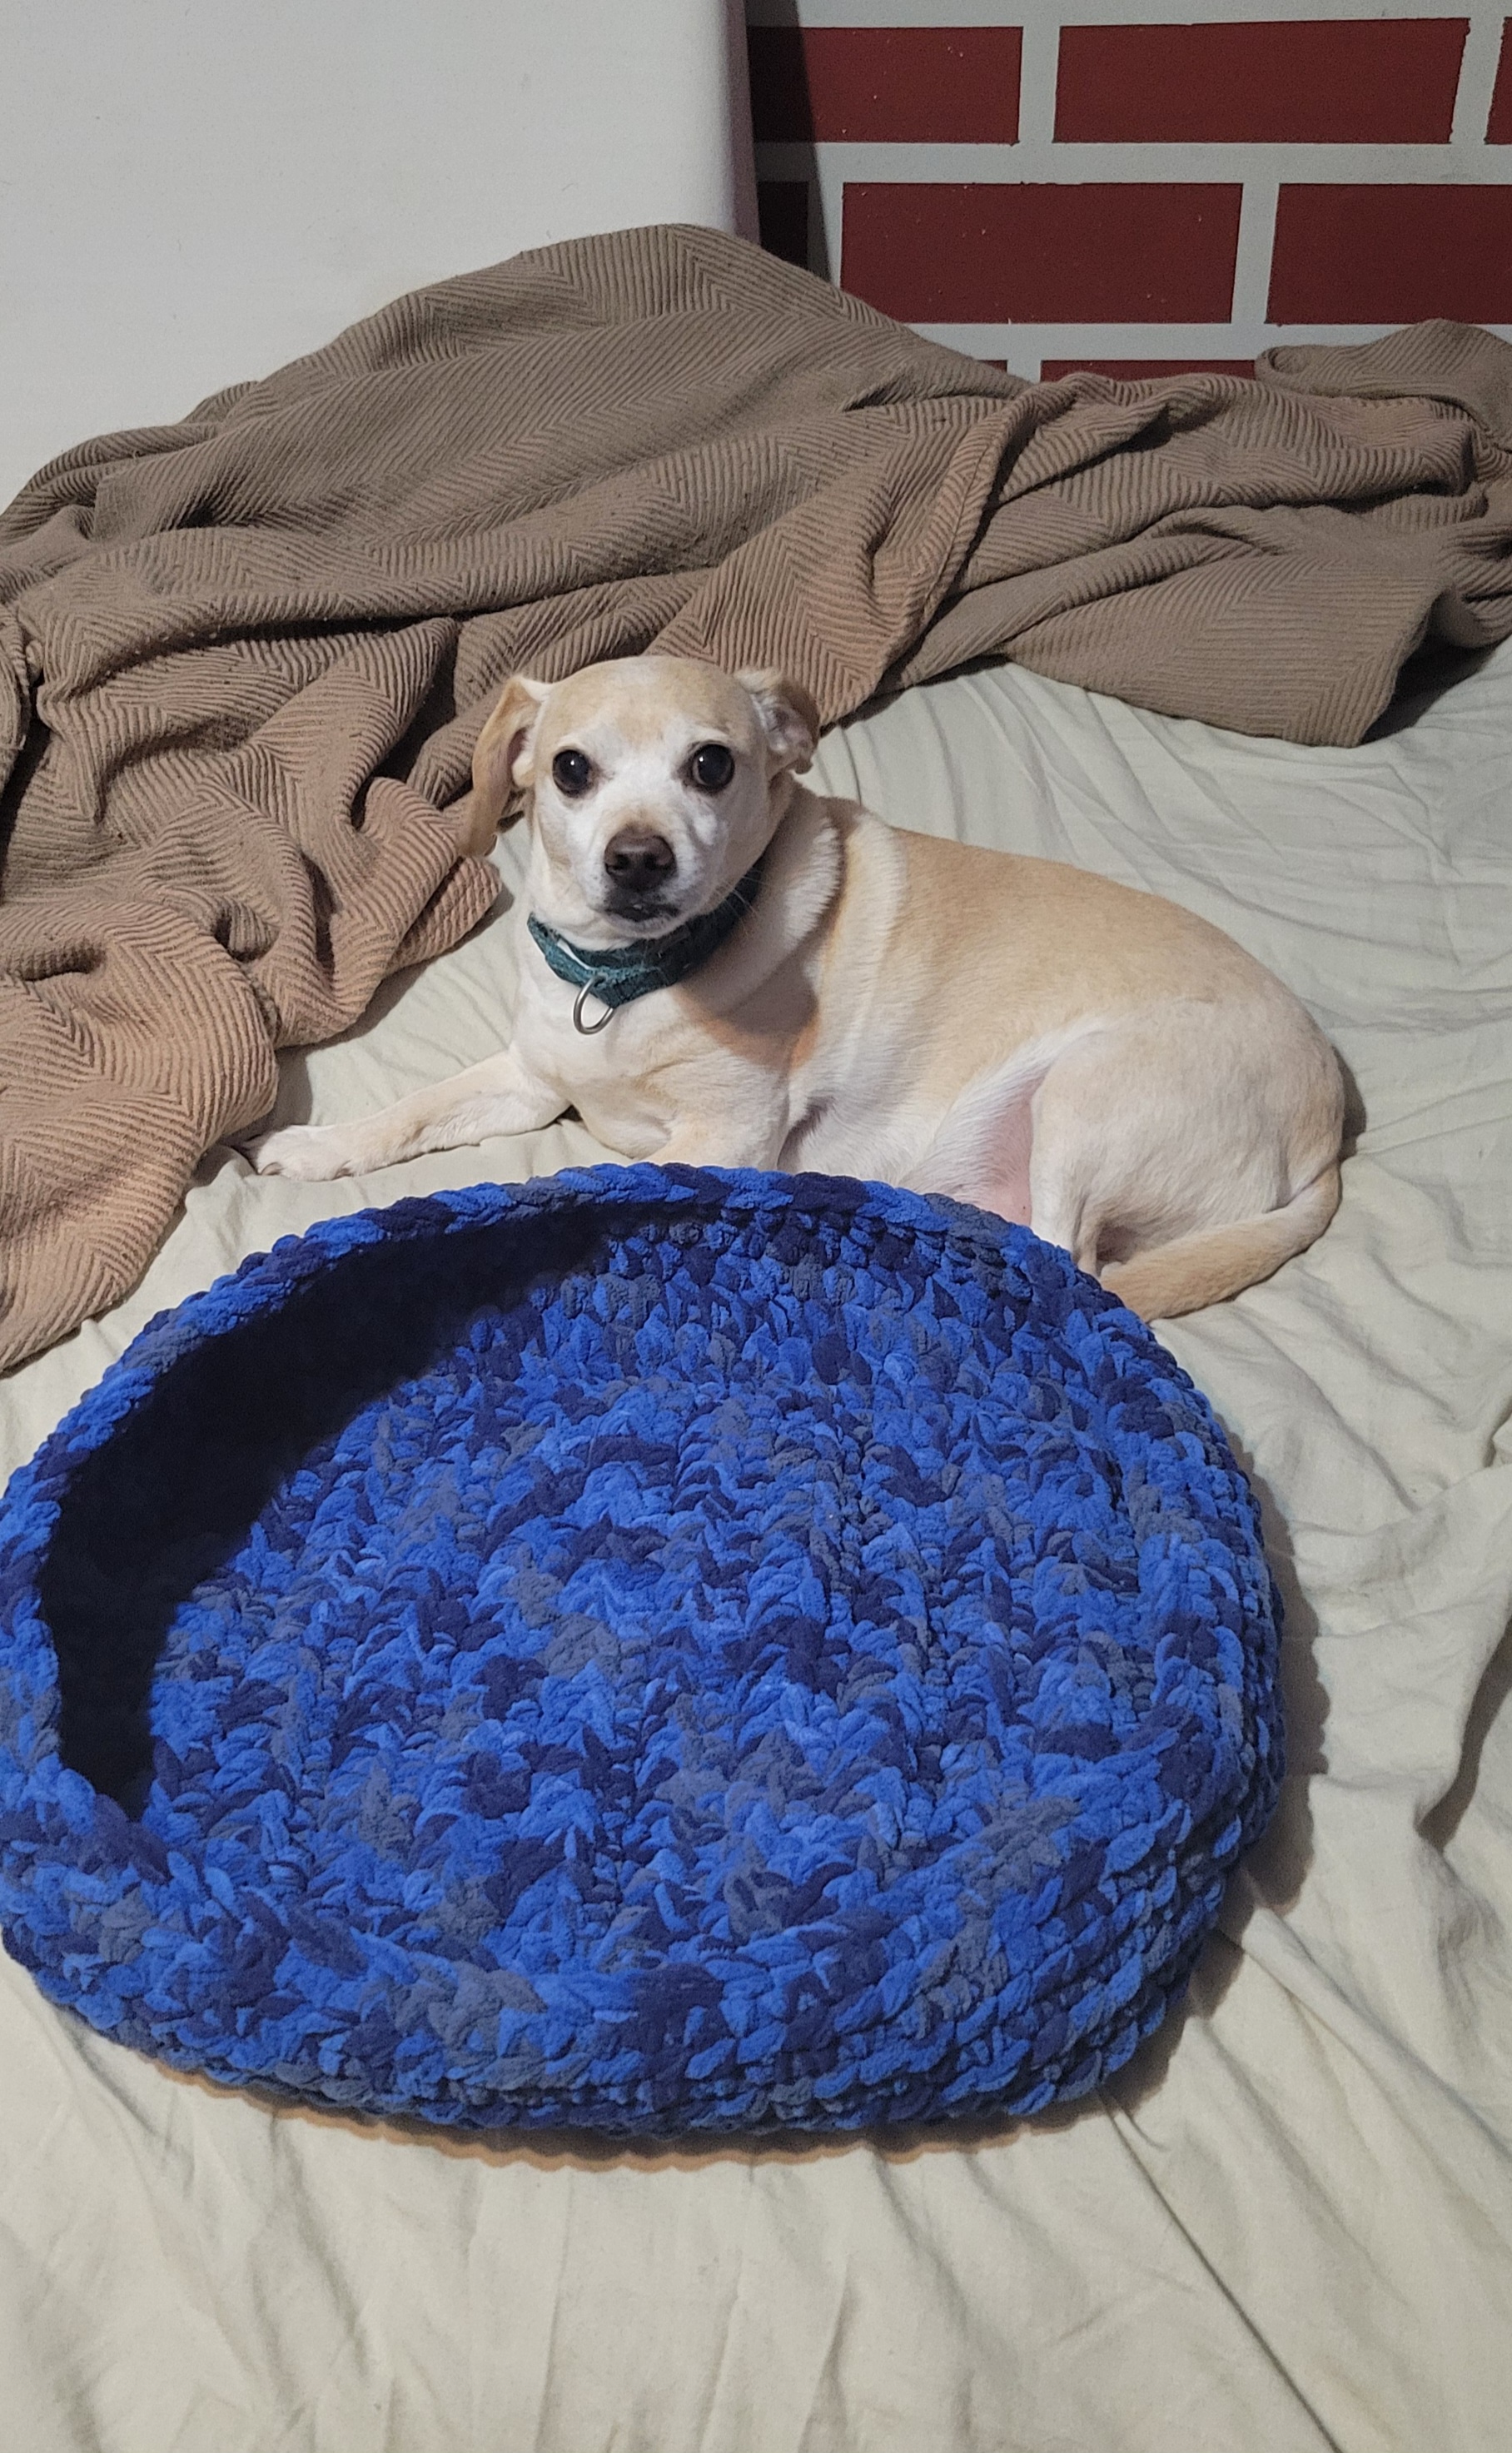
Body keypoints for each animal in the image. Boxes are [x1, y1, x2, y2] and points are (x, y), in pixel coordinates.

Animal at [251, 642, 1345, 1315]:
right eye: (569, 770)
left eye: (710, 766)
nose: (637, 860)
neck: (627, 985)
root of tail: (1328, 1132)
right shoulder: (529, 1080)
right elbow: (410, 1115)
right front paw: (314, 1149)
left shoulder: (722, 1137)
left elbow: (571, 1180)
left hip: (1088, 1092)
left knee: (1069, 1260)